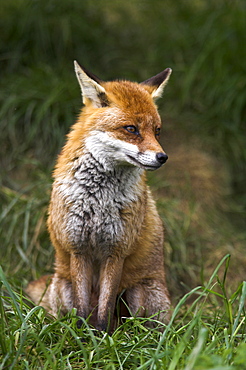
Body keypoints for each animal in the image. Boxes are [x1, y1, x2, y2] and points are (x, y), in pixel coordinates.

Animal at [25, 61, 171, 332]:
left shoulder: (116, 250)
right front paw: (83, 337)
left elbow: (105, 309)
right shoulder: (78, 248)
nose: (162, 157)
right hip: (63, 286)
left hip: (138, 292)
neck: (98, 200)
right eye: (131, 129)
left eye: (157, 131)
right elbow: (83, 309)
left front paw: (102, 338)